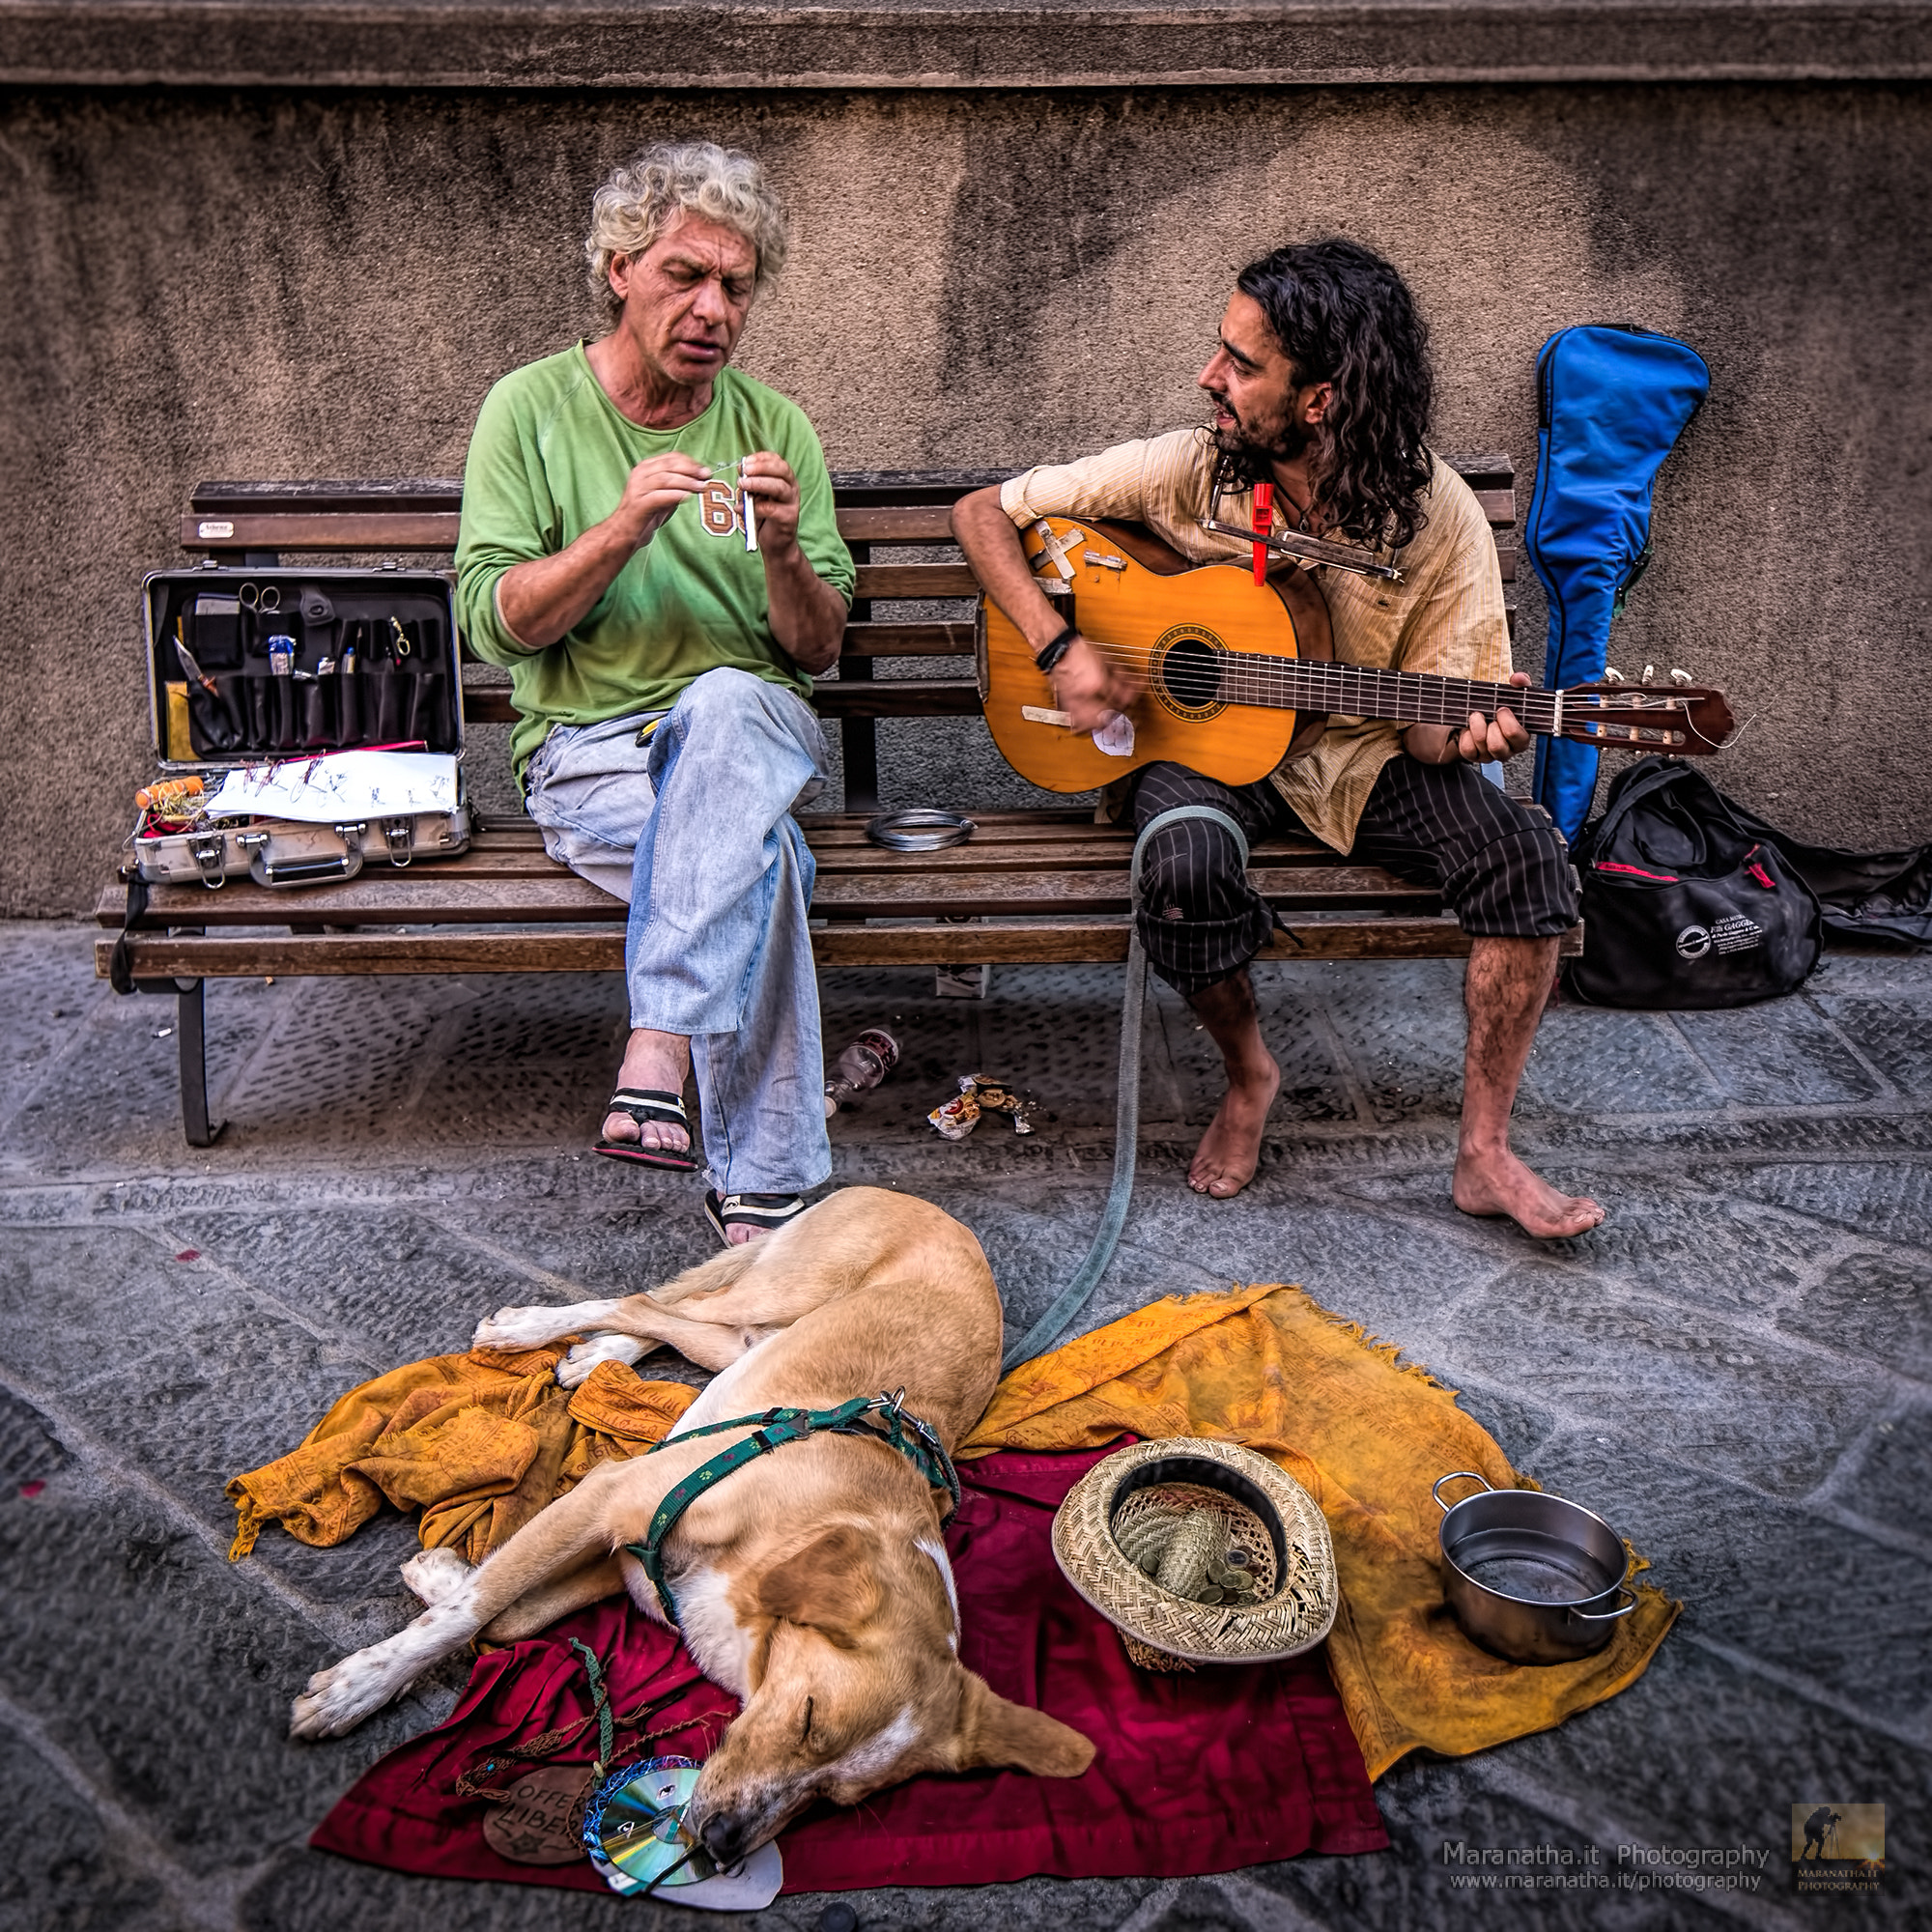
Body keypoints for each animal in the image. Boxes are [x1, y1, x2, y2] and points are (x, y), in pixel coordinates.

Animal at [292, 1182, 1097, 1862]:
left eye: (837, 1798)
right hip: (774, 1294)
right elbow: (470, 1612)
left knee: (663, 1319)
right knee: (648, 1300)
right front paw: (359, 1687)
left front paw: (439, 1575)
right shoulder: (605, 1497)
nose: (722, 1845)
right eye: (809, 1720)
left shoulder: (615, 1565)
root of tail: (920, 1200)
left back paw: (597, 1357)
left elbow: (503, 1623)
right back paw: (531, 1330)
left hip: (747, 1337)